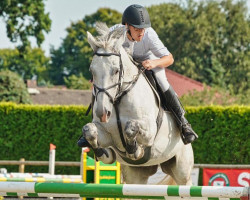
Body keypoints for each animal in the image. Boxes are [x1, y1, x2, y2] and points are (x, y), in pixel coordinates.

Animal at [82, 22, 193, 185]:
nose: (102, 113)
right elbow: (89, 130)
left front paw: (135, 150)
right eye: (91, 71)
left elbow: (131, 128)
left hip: (182, 169)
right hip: (137, 176)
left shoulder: (149, 132)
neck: (118, 99)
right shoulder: (106, 135)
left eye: (116, 71)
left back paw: (187, 131)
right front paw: (102, 153)